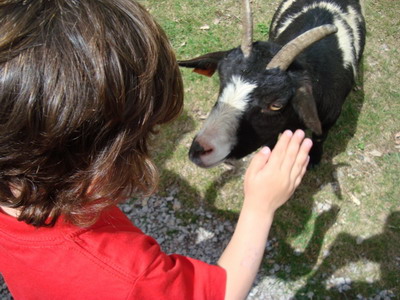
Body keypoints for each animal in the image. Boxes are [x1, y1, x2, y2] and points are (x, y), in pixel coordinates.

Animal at [178, 0, 366, 168]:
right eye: (221, 79)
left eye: (276, 105)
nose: (200, 150)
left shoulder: (330, 117)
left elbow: (320, 137)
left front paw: (314, 159)